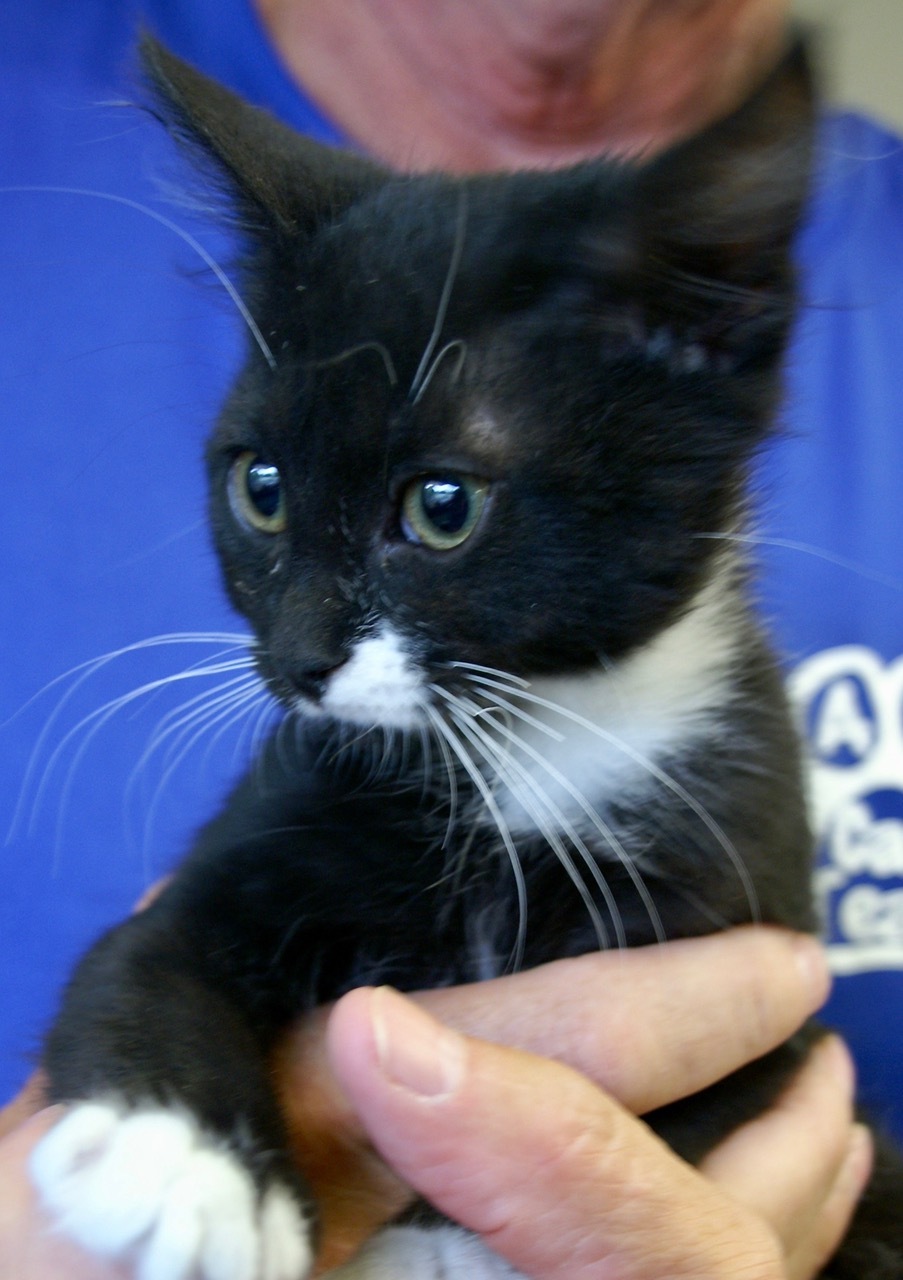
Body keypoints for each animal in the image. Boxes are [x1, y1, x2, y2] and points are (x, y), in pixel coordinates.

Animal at [28, 35, 901, 1274]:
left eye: (443, 506)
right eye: (260, 486)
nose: (298, 661)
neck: (525, 742)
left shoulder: (752, 936)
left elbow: (703, 1103)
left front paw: (442, 1246)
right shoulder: (277, 817)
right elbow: (146, 950)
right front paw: (178, 1164)